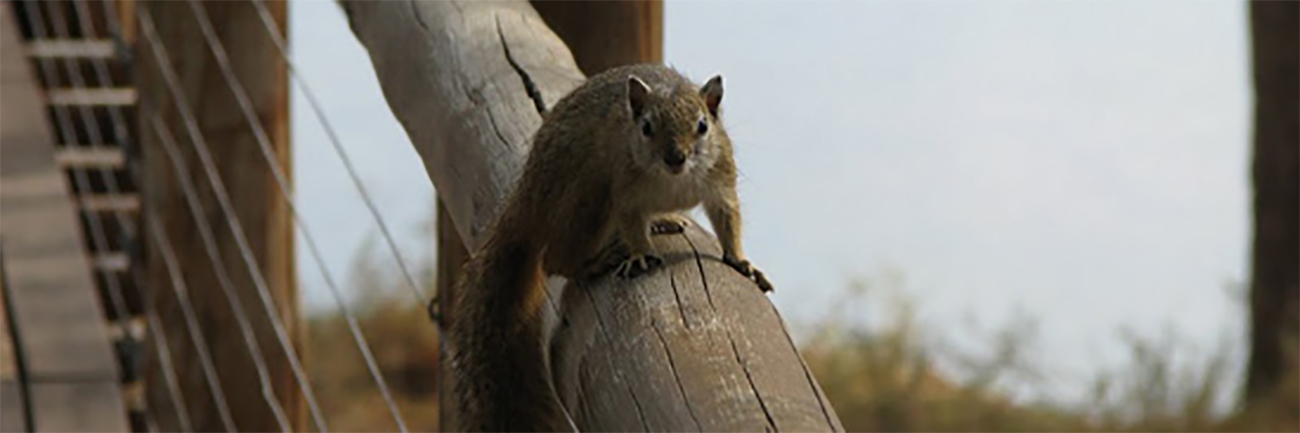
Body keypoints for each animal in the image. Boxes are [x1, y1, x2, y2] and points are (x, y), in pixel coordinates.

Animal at [449, 62, 769, 429]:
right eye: (646, 127)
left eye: (703, 125)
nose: (675, 158)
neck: (673, 181)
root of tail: (528, 200)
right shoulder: (625, 190)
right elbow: (631, 222)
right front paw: (641, 254)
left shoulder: (720, 182)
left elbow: (729, 220)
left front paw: (741, 262)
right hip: (588, 200)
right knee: (556, 260)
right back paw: (599, 259)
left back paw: (662, 220)